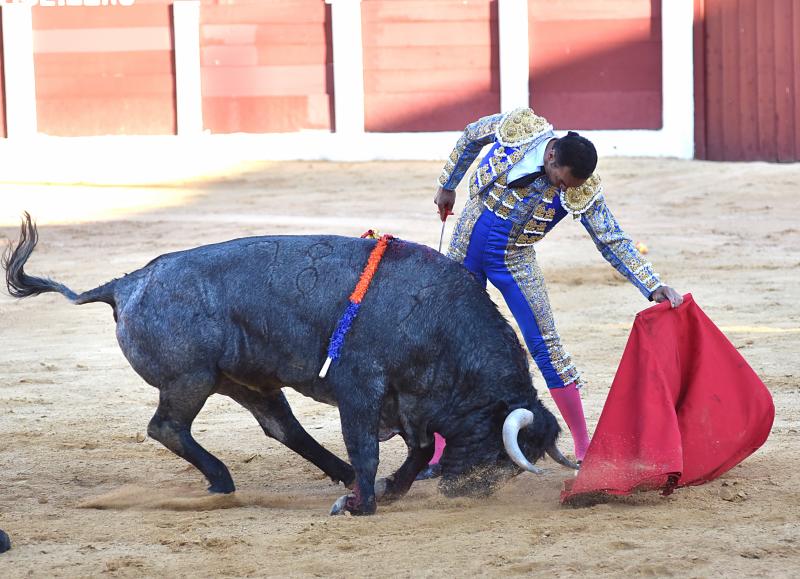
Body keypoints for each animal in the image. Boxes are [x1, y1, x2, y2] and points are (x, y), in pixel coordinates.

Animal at [1, 215, 576, 516]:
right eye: (497, 447)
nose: (473, 490)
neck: (441, 324)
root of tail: (126, 284)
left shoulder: (411, 400)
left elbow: (414, 450)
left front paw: (385, 490)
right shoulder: (360, 387)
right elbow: (368, 446)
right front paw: (362, 503)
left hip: (247, 382)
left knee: (282, 428)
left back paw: (329, 475)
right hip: (191, 379)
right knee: (165, 426)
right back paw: (223, 481)